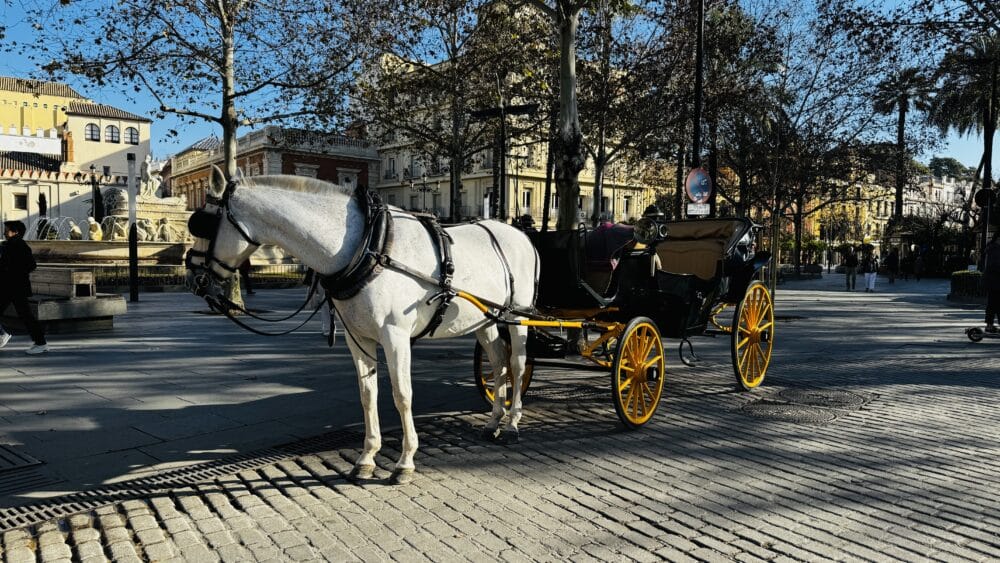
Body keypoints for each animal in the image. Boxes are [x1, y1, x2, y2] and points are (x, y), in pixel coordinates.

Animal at [184, 165, 536, 482]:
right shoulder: (357, 337)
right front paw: (367, 457)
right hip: (485, 321)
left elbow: (402, 394)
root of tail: (520, 234)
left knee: (517, 365)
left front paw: (405, 461)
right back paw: (493, 421)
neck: (367, 245)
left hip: (517, 316)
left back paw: (512, 424)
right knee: (498, 363)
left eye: (202, 224)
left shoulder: (395, 337)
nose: (194, 278)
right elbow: (368, 394)